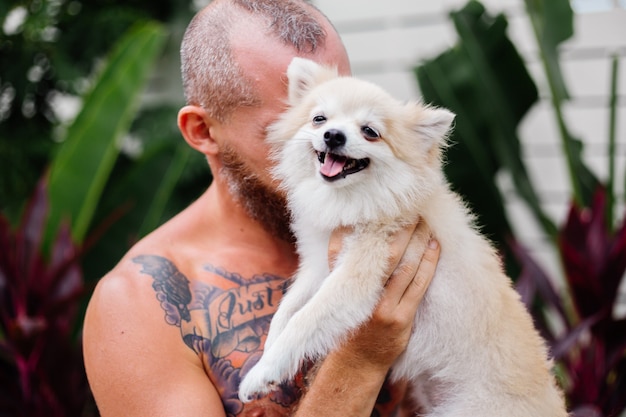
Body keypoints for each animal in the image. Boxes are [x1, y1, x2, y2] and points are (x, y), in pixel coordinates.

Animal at [235, 57, 564, 414]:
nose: (333, 135)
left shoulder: (358, 275)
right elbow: (285, 312)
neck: (351, 200)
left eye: (370, 132)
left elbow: (305, 320)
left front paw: (263, 372)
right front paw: (267, 357)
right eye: (319, 119)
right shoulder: (318, 267)